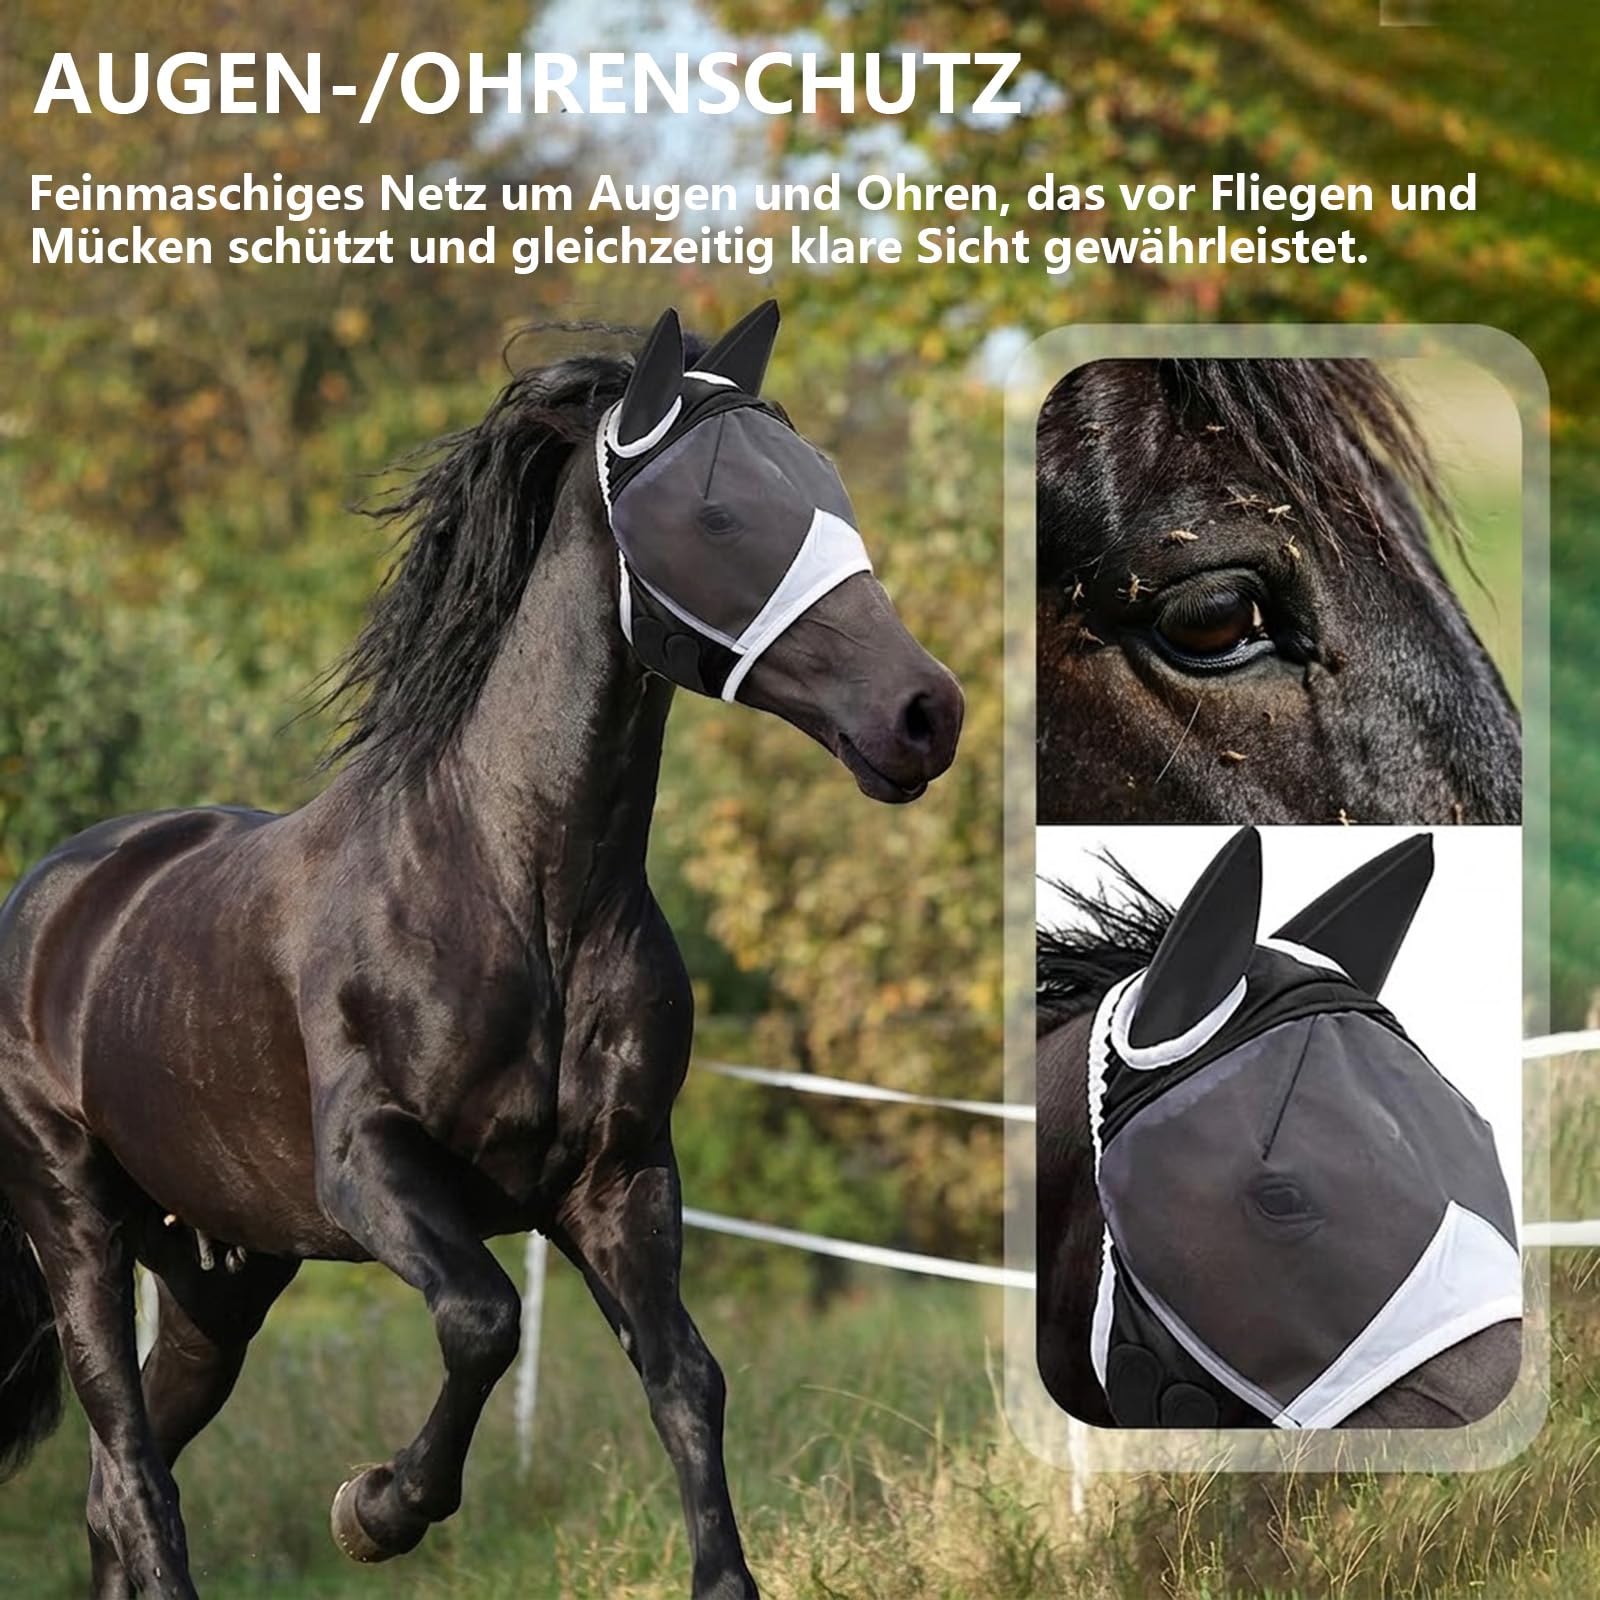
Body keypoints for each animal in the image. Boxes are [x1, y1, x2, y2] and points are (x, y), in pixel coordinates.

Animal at [0, 301, 964, 1600]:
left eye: (828, 486)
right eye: (717, 513)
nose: (925, 713)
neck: (519, 894)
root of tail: (54, 895)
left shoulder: (619, 1181)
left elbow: (687, 1379)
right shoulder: (372, 1170)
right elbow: (484, 1318)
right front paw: (375, 1509)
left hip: (219, 1274)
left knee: (116, 1484)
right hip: (77, 1224)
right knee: (135, 1472)